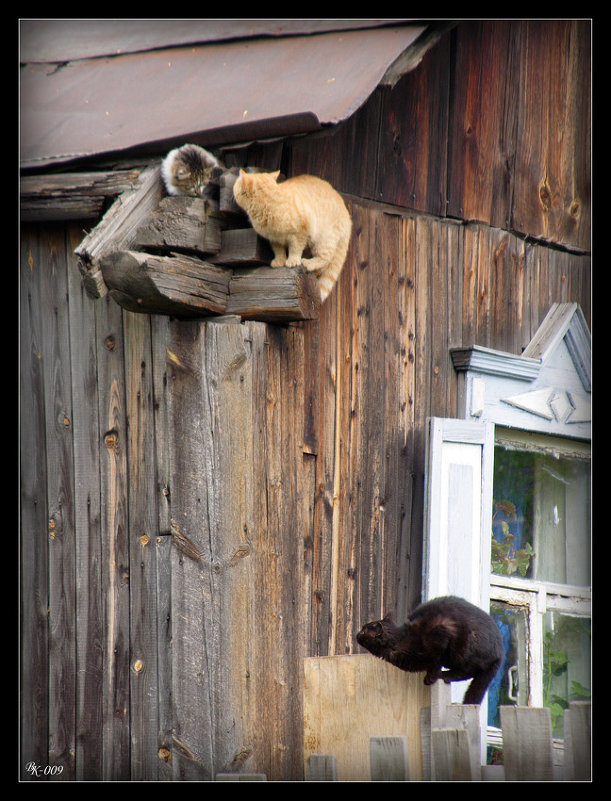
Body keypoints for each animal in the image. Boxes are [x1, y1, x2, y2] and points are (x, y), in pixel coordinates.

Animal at [233, 169, 352, 300]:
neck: (269, 203)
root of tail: (347, 217)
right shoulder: (274, 239)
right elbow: (278, 251)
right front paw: (279, 261)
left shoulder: (301, 231)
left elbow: (295, 248)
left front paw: (293, 260)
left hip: (324, 240)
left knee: (326, 258)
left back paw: (309, 263)